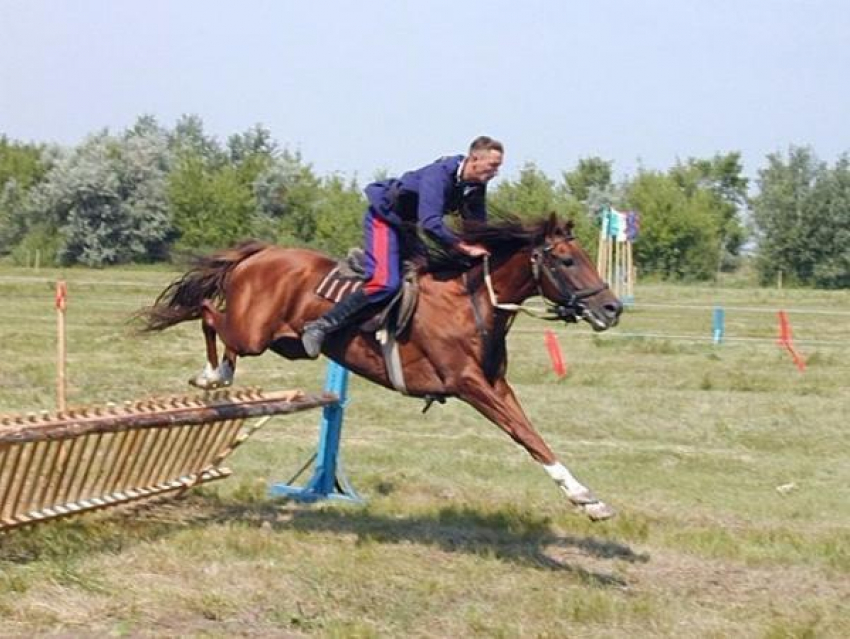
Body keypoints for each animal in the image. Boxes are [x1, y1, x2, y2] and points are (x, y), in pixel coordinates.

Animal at [139, 215, 624, 520]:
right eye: (567, 261)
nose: (613, 308)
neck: (473, 302)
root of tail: (262, 253)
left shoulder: (496, 384)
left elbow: (532, 436)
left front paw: (587, 499)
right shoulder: (469, 384)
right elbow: (521, 432)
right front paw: (585, 498)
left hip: (286, 344)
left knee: (217, 322)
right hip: (252, 332)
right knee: (208, 313)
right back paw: (212, 375)